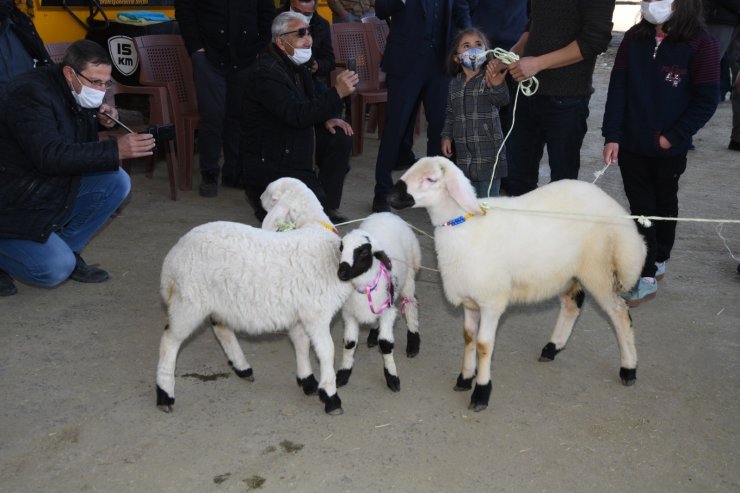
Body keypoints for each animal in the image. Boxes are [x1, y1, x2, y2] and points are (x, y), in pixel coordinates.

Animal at [159, 179, 358, 414]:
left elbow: (301, 343)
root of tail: (171, 261)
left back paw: (242, 367)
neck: (315, 229)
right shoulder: (315, 314)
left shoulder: (299, 313)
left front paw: (307, 380)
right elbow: (327, 351)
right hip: (189, 301)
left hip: (217, 300)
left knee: (221, 328)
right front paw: (330, 395)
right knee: (169, 340)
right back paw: (164, 394)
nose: (259, 197)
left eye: (272, 197)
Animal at [336, 213, 422, 390]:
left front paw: (392, 377)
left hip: (409, 276)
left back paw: (413, 343)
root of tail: (386, 213)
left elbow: (386, 344)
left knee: (410, 306)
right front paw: (343, 374)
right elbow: (349, 344)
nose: (341, 272)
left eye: (363, 252)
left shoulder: (388, 312)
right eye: (341, 248)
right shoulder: (349, 315)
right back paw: (373, 334)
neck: (365, 287)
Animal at [388, 157, 648, 412]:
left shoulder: (491, 301)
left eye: (430, 179)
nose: (391, 197)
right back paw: (552, 347)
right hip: (565, 271)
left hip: (597, 268)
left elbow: (483, 345)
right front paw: (464, 378)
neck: (464, 225)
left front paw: (481, 391)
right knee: (572, 303)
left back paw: (628, 369)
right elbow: (468, 337)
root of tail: (611, 205)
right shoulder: (470, 300)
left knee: (619, 313)